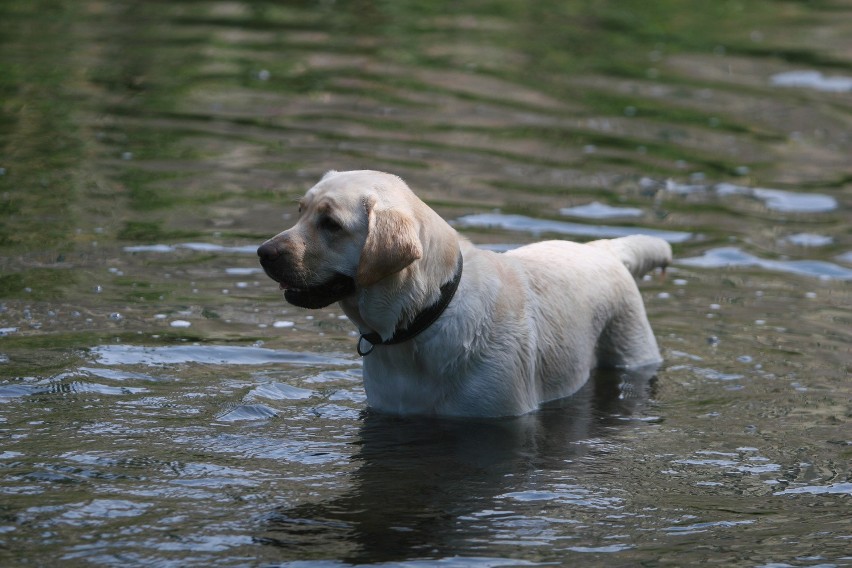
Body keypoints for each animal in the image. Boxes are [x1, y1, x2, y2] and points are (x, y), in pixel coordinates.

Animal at [256, 170, 668, 418]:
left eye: (331, 224)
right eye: (300, 211)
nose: (262, 252)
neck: (421, 320)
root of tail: (603, 248)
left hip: (630, 349)